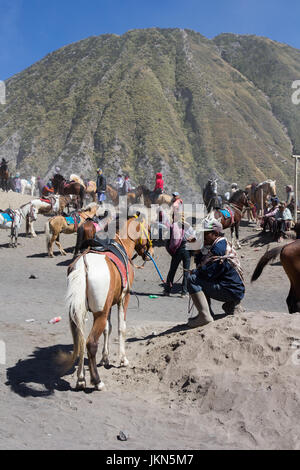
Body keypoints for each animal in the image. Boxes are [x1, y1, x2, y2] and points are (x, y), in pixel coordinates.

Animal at [57, 215, 154, 392]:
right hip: (99, 314)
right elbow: (121, 328)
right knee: (90, 343)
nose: (150, 253)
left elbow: (108, 329)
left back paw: (81, 379)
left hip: (81, 312)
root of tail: (83, 265)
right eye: (149, 230)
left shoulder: (108, 304)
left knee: (81, 341)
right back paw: (97, 381)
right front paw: (122, 360)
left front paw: (105, 358)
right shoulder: (123, 298)